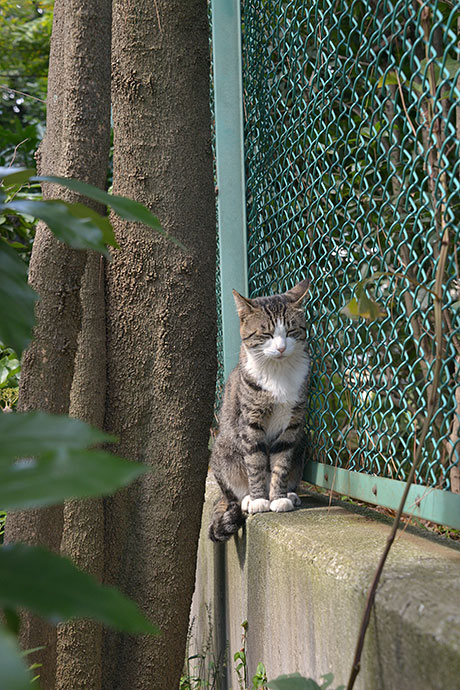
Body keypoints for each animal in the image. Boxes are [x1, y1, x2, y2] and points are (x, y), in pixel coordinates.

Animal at [208, 276, 310, 540]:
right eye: (266, 333)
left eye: (291, 331)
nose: (282, 347)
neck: (278, 372)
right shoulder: (251, 421)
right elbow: (255, 462)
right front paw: (259, 500)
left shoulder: (292, 424)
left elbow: (281, 463)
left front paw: (278, 498)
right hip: (223, 451)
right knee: (231, 495)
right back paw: (245, 499)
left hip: (302, 443)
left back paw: (291, 494)